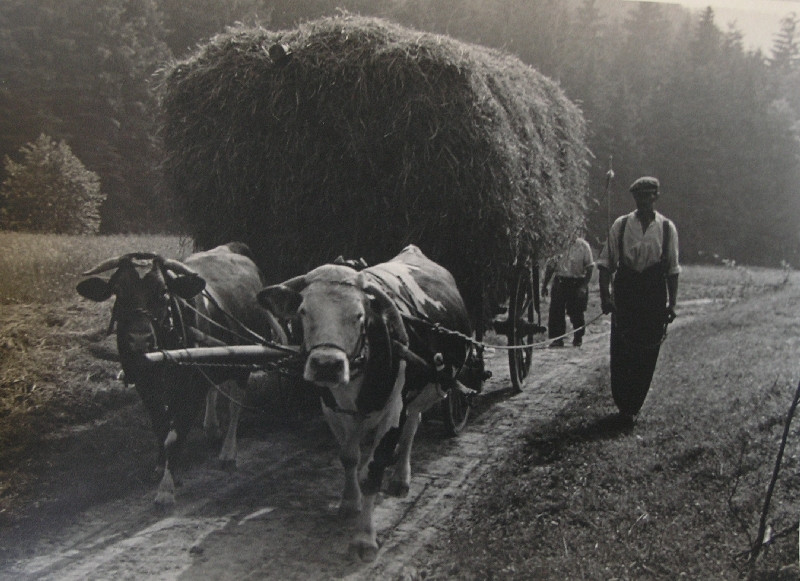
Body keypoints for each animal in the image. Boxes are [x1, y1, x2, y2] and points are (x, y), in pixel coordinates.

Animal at [76, 240, 288, 502]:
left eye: (163, 292)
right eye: (118, 290)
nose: (139, 340)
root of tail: (234, 247)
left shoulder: (190, 388)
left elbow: (176, 433)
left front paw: (167, 486)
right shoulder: (146, 385)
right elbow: (161, 426)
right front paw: (161, 466)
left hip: (245, 357)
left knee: (235, 404)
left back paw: (228, 452)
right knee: (216, 388)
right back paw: (211, 428)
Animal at [256, 244, 472, 556]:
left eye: (359, 315)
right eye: (303, 311)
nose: (327, 365)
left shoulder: (394, 410)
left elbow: (373, 470)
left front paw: (365, 536)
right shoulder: (331, 408)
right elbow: (348, 456)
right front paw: (349, 502)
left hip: (426, 390)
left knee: (412, 426)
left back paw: (400, 477)